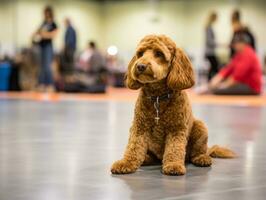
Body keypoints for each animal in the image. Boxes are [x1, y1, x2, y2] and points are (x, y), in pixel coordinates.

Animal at [110, 35, 235, 176]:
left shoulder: (176, 129)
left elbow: (174, 148)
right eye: (140, 54)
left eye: (159, 53)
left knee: (197, 152)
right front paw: (126, 163)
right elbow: (133, 146)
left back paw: (202, 158)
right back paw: (146, 158)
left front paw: (174, 165)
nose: (140, 66)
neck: (158, 98)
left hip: (200, 127)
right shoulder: (139, 127)